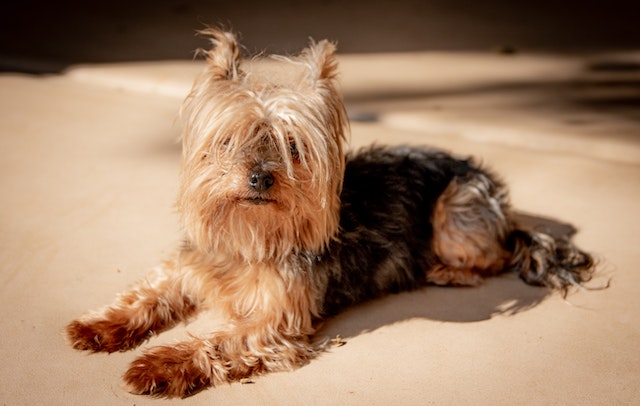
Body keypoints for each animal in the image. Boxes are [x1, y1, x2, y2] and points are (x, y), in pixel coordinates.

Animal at [65, 30, 596, 398]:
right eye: (228, 141)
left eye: (293, 148)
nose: (259, 178)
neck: (249, 235)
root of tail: (503, 205)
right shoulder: (189, 266)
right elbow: (147, 292)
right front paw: (100, 326)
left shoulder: (275, 324)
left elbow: (217, 342)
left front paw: (158, 365)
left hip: (457, 208)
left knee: (495, 255)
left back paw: (445, 269)